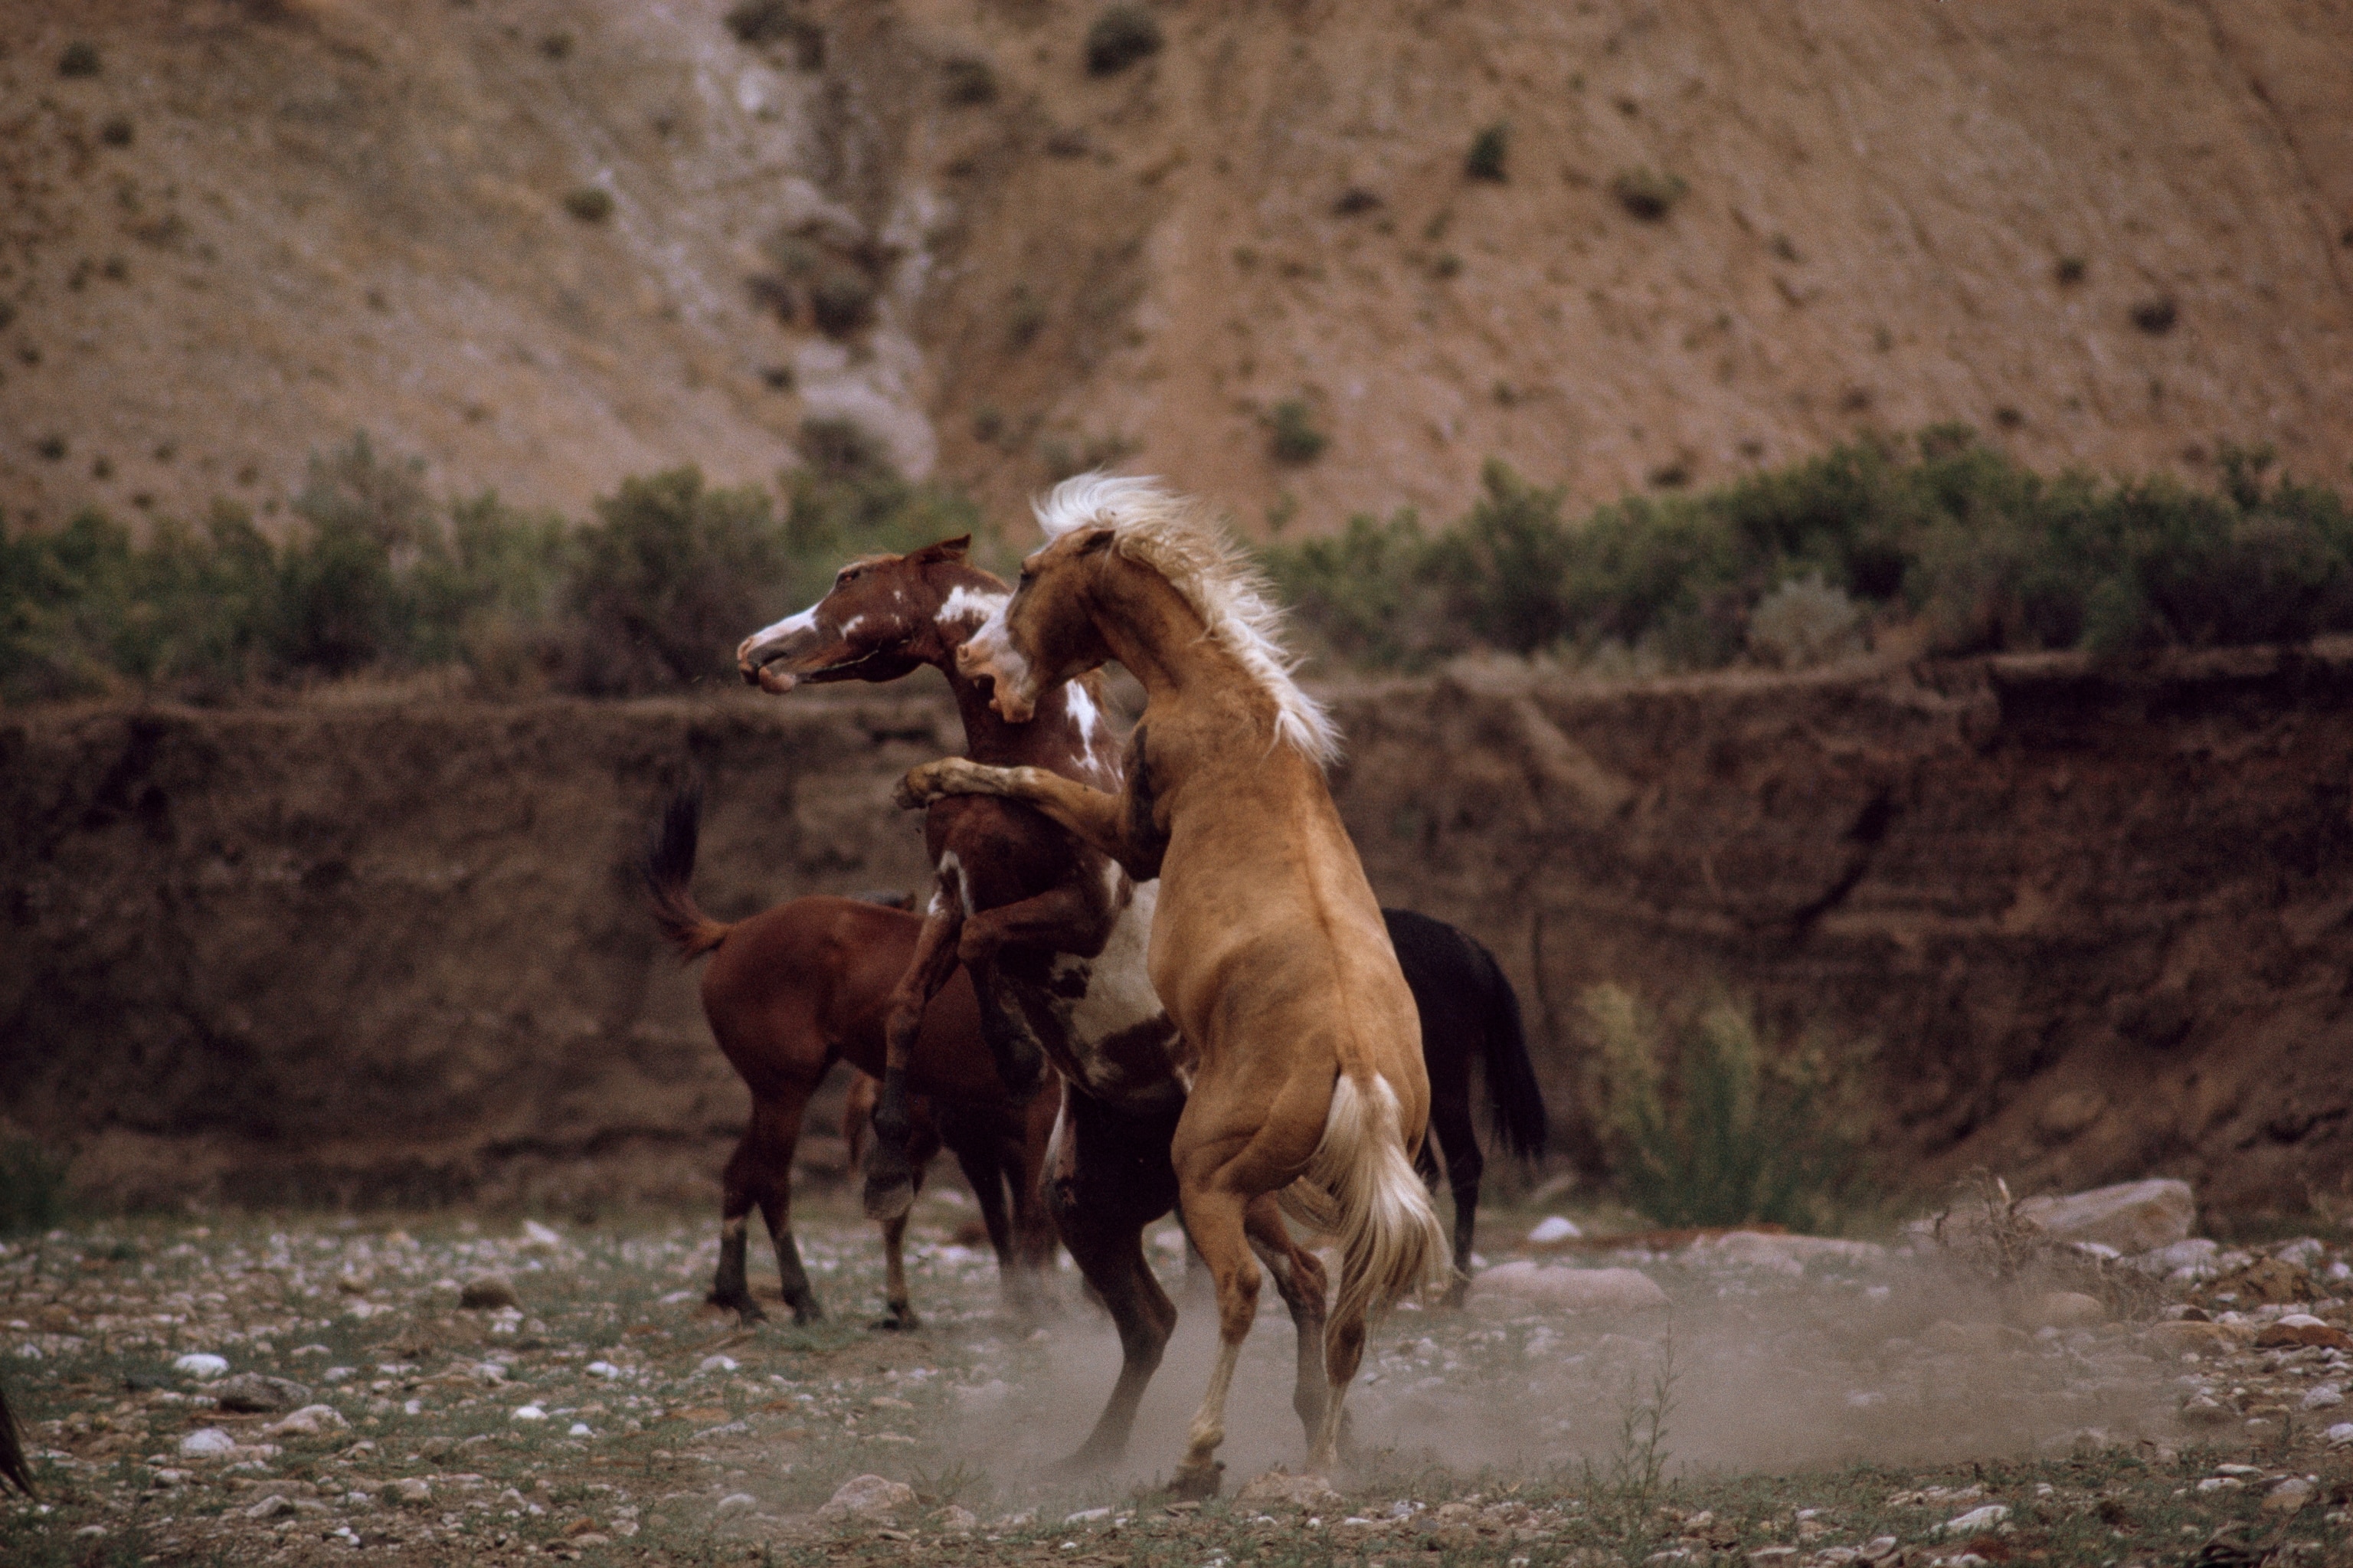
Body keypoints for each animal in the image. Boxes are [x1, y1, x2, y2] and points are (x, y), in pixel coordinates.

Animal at [643, 788, 1057, 1327]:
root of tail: (733, 931)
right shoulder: (1028, 1119)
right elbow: (1032, 1217)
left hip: (776, 1091)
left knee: (739, 1175)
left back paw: (741, 1297)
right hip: (785, 1092)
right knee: (772, 1182)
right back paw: (803, 1299)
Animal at [738, 537, 1342, 1473]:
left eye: (851, 579)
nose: (756, 651)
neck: (1043, 749)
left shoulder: (1081, 904)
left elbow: (989, 947)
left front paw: (1016, 1051)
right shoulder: (950, 894)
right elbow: (910, 1001)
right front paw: (886, 1165)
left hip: (1233, 1192)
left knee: (1303, 1281)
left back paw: (1302, 1431)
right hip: (1084, 1208)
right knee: (1151, 1322)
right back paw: (1094, 1454)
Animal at [900, 474, 1452, 1491]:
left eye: (1029, 574)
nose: (983, 665)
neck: (1232, 710)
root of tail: (1355, 1072)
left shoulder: (1131, 828)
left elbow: (1032, 782)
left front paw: (931, 775)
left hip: (1210, 1178)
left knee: (1243, 1292)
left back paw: (1200, 1456)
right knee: (1348, 1319)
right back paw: (1319, 1459)